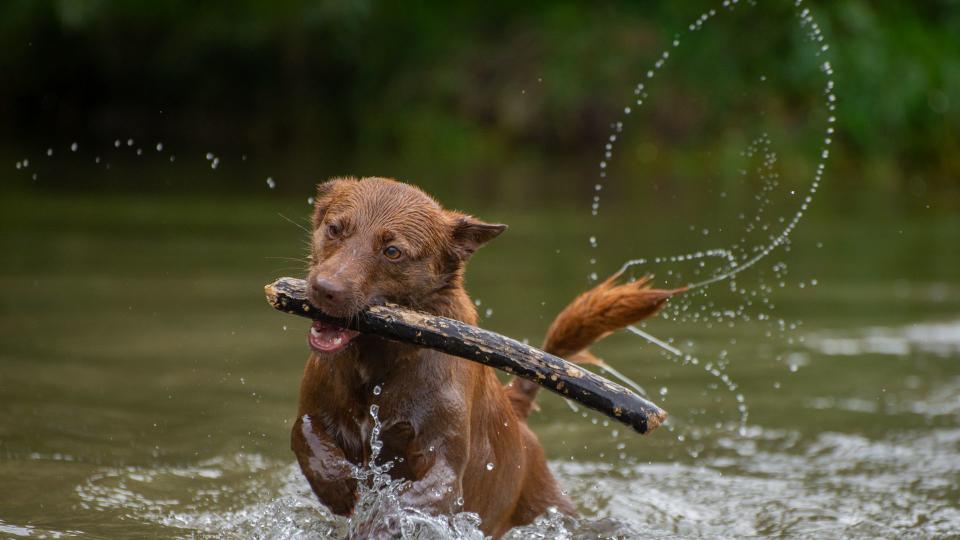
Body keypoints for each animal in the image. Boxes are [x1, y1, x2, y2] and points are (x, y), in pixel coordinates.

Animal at [292, 177, 676, 536]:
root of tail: (518, 414)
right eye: (334, 228)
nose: (325, 289)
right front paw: (340, 485)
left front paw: (377, 523)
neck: (377, 363)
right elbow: (305, 436)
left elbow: (420, 493)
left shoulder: (444, 459)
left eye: (393, 251)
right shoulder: (315, 409)